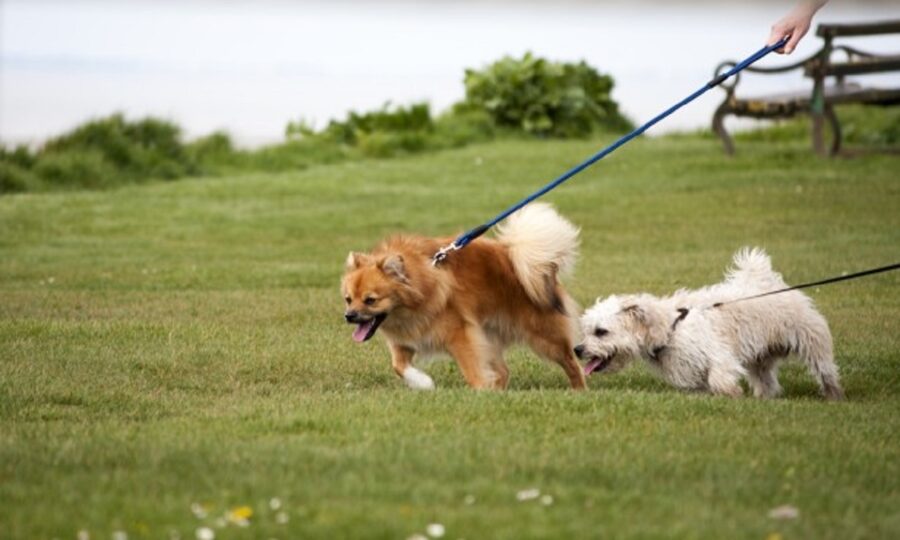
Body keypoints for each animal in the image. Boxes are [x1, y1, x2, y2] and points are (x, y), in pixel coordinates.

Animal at [342, 202, 588, 388]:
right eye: (348, 299)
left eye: (370, 300)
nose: (349, 316)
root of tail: (522, 257)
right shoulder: (406, 341)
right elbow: (399, 367)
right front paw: (423, 383)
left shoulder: (460, 335)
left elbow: (472, 371)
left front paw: (479, 390)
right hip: (488, 335)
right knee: (503, 371)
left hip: (545, 336)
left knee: (571, 363)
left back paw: (579, 390)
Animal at [576, 247, 844, 398]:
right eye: (586, 331)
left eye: (601, 332)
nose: (577, 349)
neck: (671, 327)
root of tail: (771, 283)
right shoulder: (687, 370)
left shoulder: (718, 354)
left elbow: (718, 377)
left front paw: (732, 394)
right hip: (761, 360)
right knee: (766, 381)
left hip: (811, 340)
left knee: (826, 371)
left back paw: (834, 396)